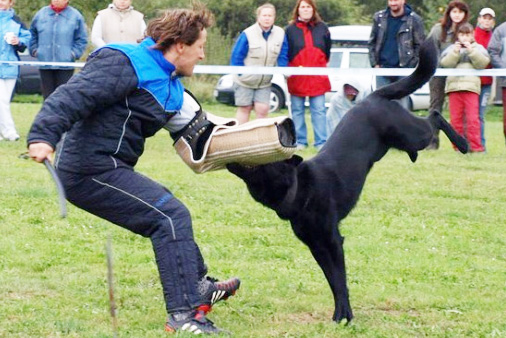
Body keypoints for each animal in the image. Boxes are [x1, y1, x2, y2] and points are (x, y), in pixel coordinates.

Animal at [227, 39, 468, 324]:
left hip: (412, 134)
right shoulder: (316, 245)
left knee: (434, 117)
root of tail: (372, 97)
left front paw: (344, 315)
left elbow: (340, 279)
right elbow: (332, 280)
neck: (299, 191)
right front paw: (340, 314)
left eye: (265, 158)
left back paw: (463, 144)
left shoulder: (333, 241)